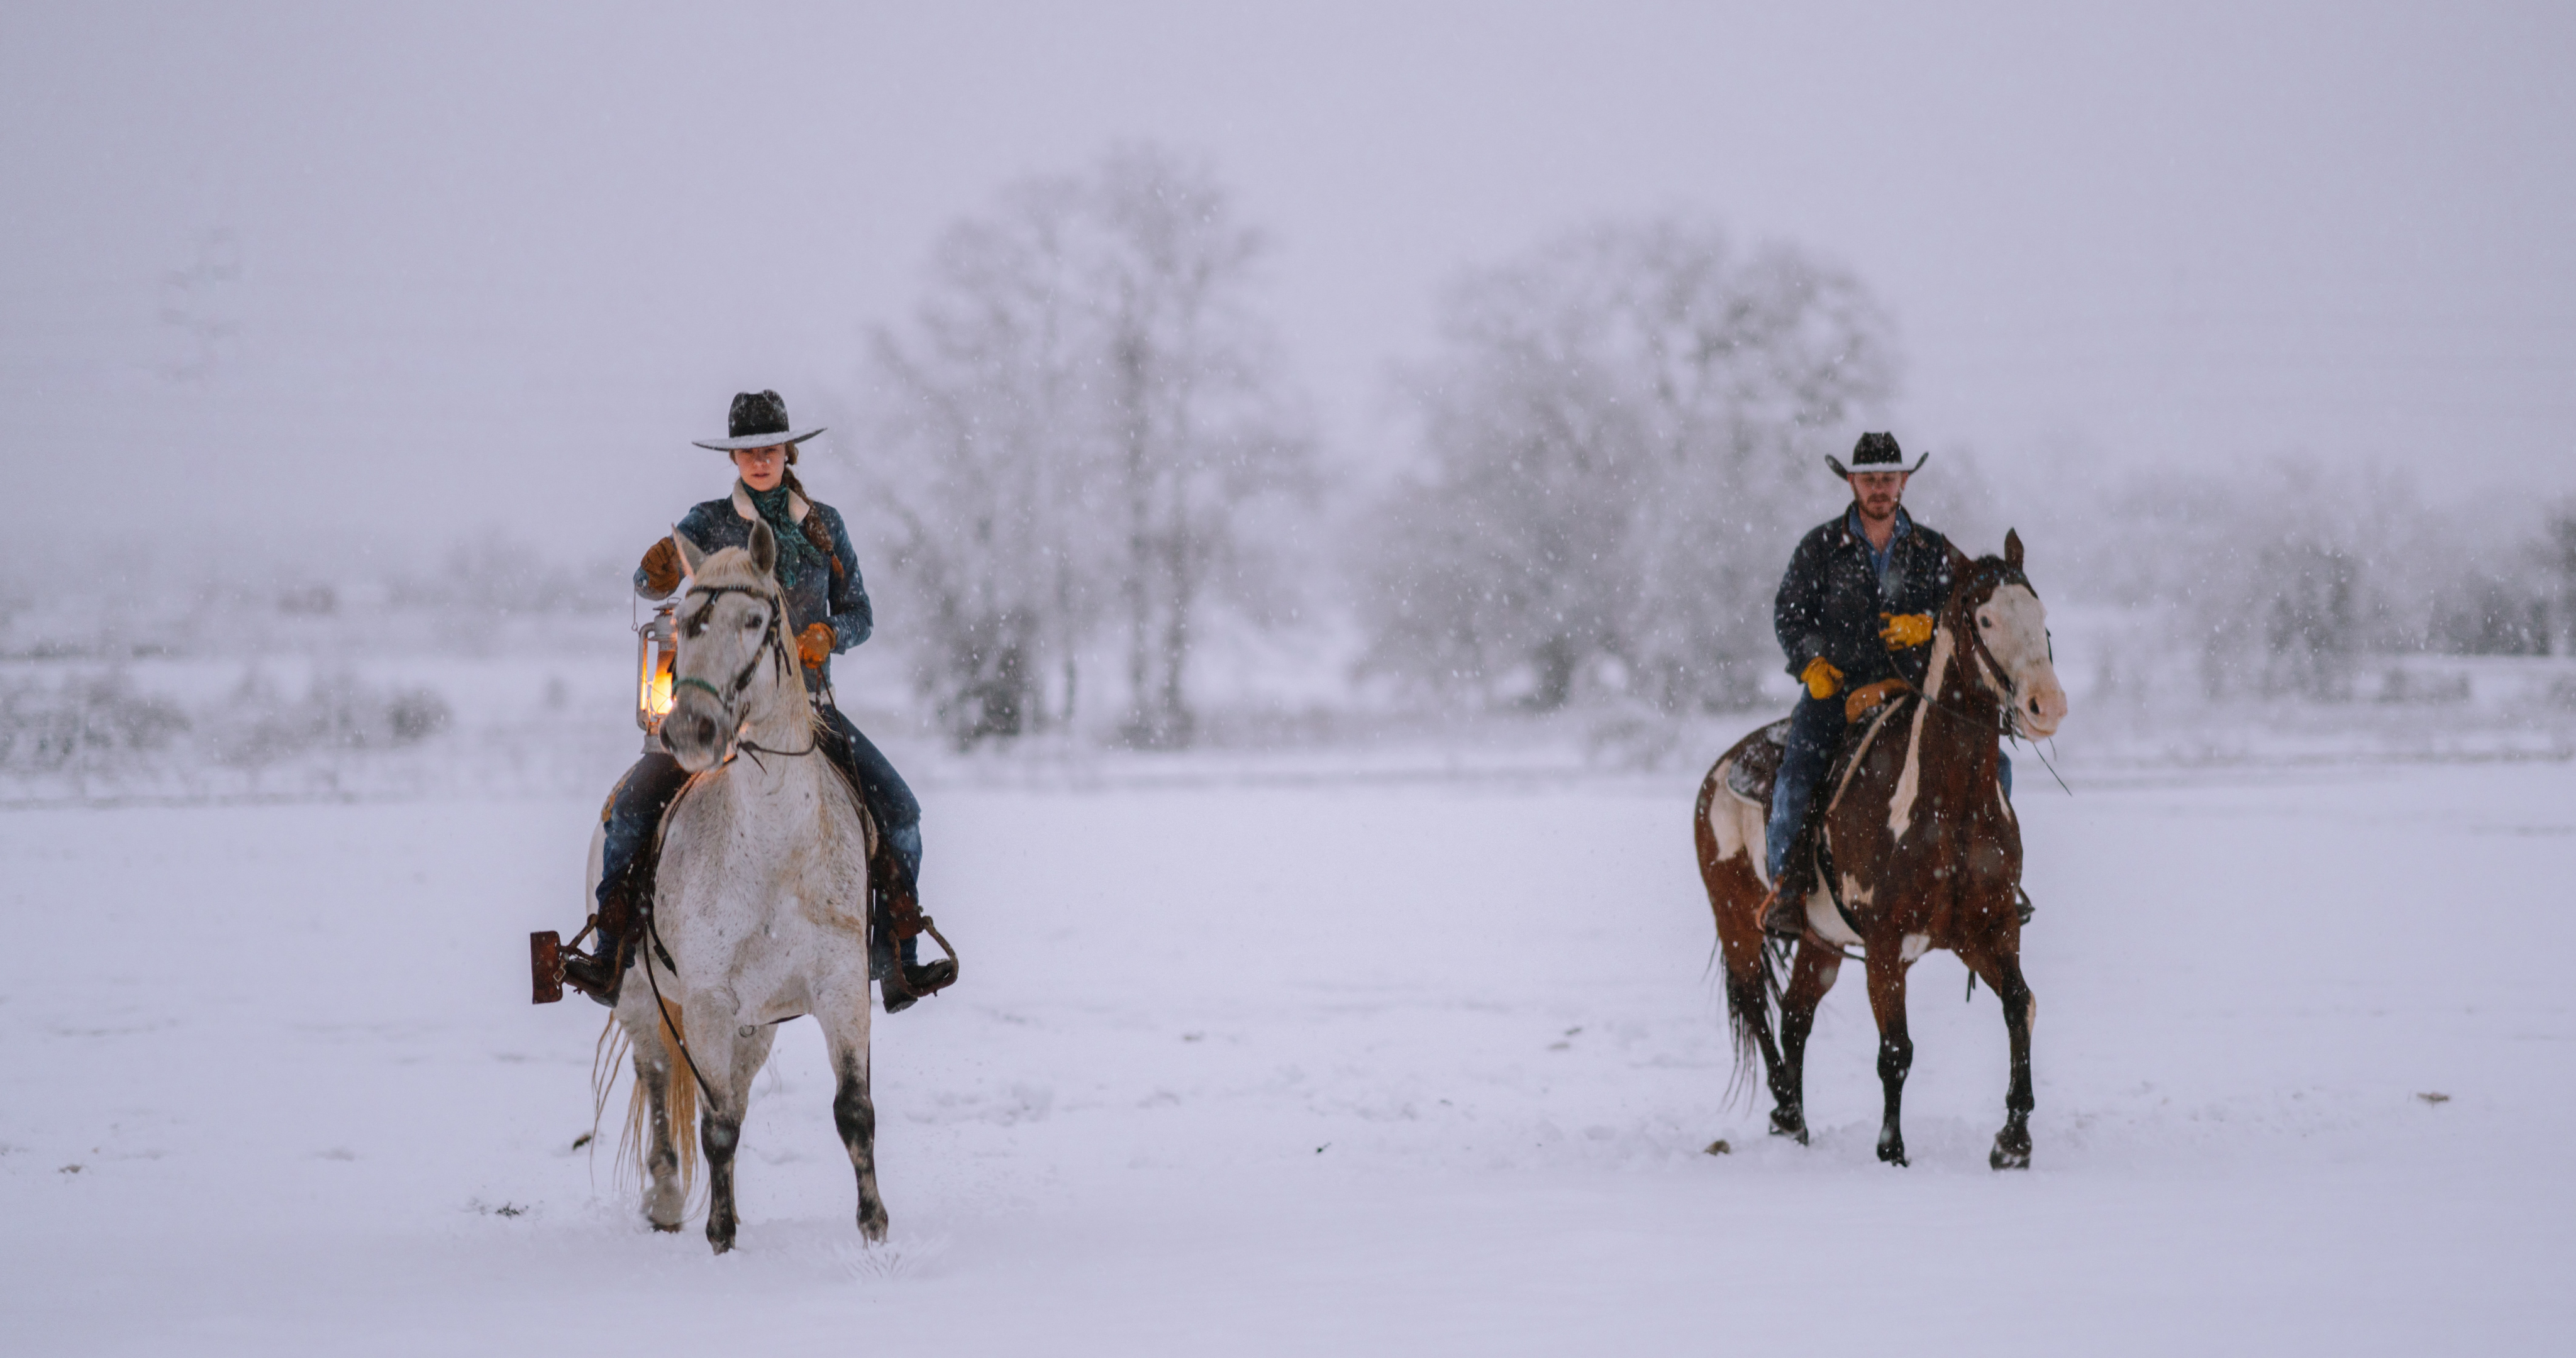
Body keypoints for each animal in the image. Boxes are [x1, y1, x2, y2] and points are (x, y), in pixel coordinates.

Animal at [592, 520, 886, 1252]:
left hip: (757, 1027)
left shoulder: (840, 987)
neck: (775, 852)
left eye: (755, 620)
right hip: (642, 1002)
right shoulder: (706, 1000)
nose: (690, 729)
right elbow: (716, 1123)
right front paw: (721, 1237)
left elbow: (854, 1111)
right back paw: (667, 1199)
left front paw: (875, 1230)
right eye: (683, 623)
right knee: (660, 1080)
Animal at [1689, 531, 2071, 1169]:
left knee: (1795, 1017)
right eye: (1986, 618)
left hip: (1819, 944)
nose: (2047, 704)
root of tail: (1722, 767)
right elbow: (1895, 1049)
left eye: (2041, 616)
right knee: (1756, 1008)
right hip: (1737, 918)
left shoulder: (1987, 929)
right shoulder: (1887, 945)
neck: (1946, 812)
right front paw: (1891, 1150)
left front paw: (2013, 1140)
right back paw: (1785, 1109)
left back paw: (1794, 1119)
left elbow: (2021, 1005)